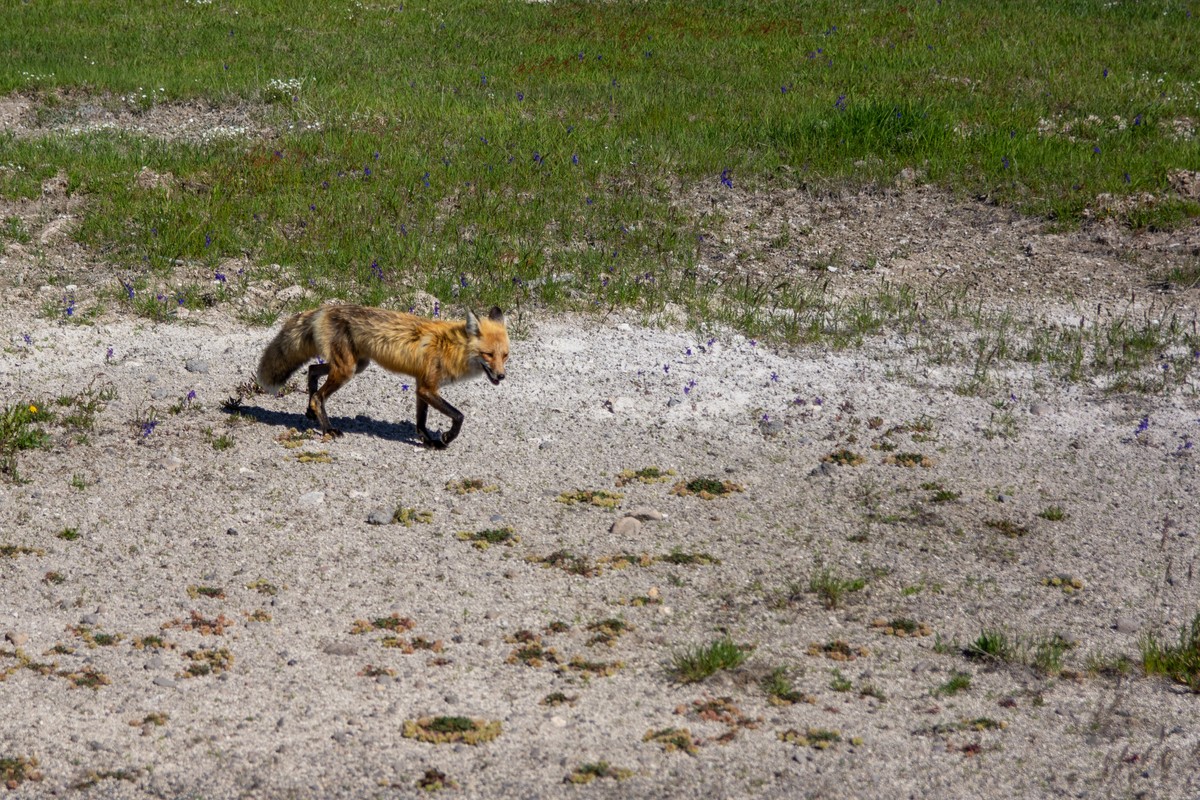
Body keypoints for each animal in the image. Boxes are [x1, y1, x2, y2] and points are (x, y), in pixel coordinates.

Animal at [255, 303, 508, 448]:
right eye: (488, 354)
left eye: (505, 355)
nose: (502, 376)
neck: (451, 347)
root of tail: (323, 309)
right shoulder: (428, 387)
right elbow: (459, 416)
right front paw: (446, 438)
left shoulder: (422, 386)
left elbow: (421, 421)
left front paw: (429, 441)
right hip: (347, 370)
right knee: (319, 395)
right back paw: (327, 428)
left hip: (355, 365)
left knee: (312, 371)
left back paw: (310, 410)